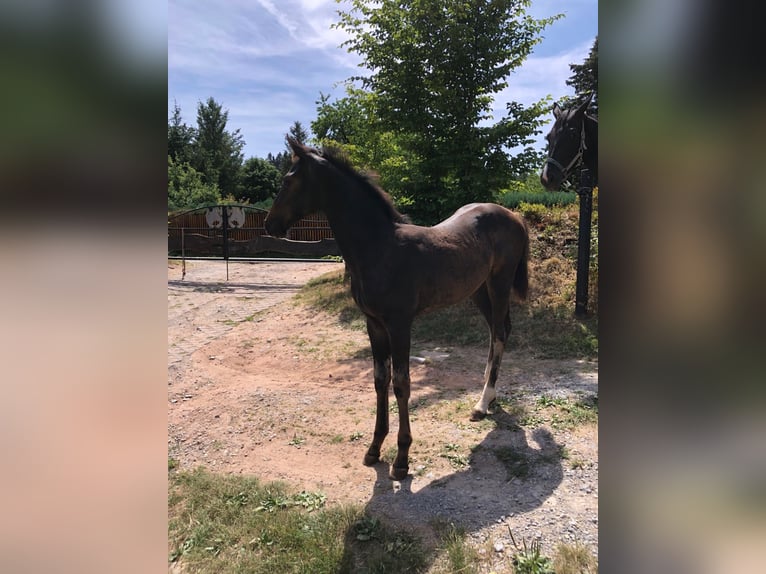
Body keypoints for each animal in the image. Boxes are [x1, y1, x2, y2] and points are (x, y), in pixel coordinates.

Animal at [268, 140, 532, 482]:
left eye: (289, 181)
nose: (270, 224)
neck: (380, 248)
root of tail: (513, 214)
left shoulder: (399, 324)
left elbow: (401, 384)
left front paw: (402, 459)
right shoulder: (374, 324)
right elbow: (380, 381)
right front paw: (374, 449)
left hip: (499, 283)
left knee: (499, 332)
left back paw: (482, 403)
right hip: (478, 289)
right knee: (497, 331)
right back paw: (491, 394)